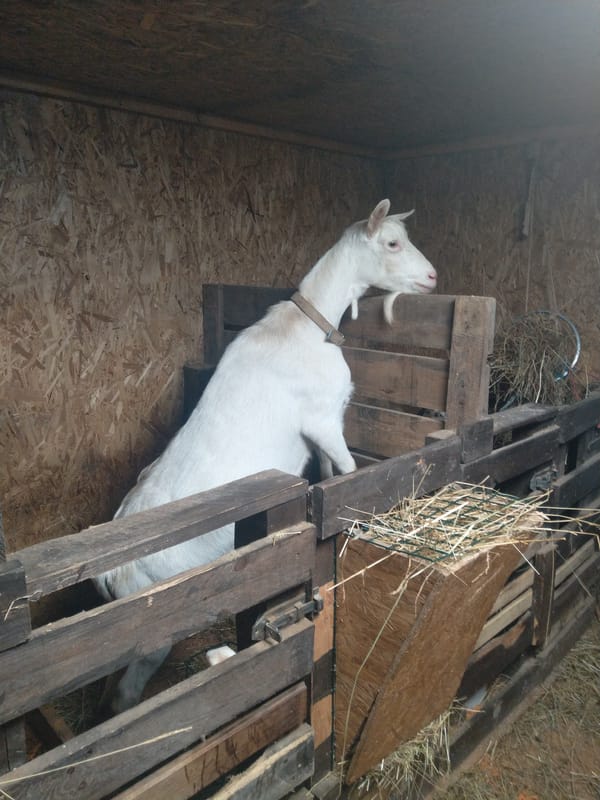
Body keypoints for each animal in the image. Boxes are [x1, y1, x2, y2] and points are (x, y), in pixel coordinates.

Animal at [93, 199, 437, 713]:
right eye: (393, 243)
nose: (433, 277)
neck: (307, 328)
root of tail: (111, 573)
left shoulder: (318, 438)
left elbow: (329, 473)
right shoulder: (324, 420)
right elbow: (350, 471)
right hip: (152, 635)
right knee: (128, 695)